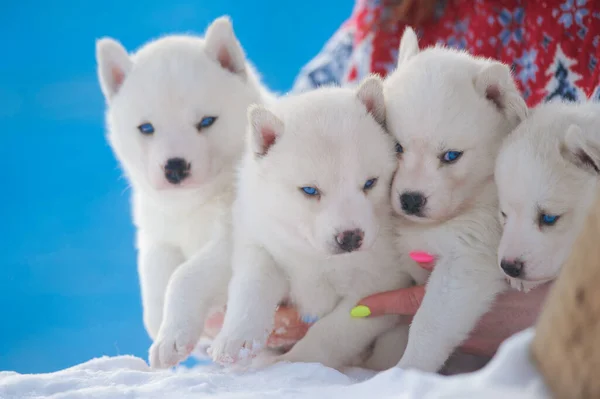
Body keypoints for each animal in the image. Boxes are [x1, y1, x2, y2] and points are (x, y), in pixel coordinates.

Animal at [95, 17, 274, 370]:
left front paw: (172, 338)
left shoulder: (232, 237)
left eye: (206, 121)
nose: (175, 167)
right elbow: (154, 273)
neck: (193, 205)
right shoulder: (158, 231)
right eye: (146, 128)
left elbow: (184, 276)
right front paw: (162, 324)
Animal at [206, 76, 412, 370]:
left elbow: (332, 333)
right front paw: (236, 338)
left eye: (370, 183)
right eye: (310, 190)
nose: (351, 237)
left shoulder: (381, 286)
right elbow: (251, 286)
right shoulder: (263, 243)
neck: (316, 258)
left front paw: (293, 362)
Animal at [366, 28, 528, 376]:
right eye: (397, 147)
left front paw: (405, 371)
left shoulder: (466, 261)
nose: (411, 200)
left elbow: (428, 325)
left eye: (451, 156)